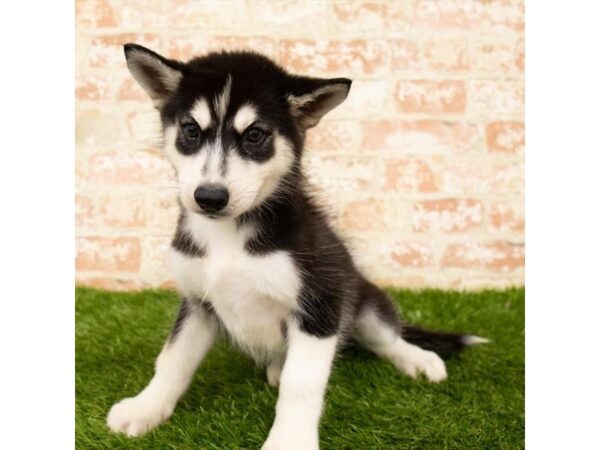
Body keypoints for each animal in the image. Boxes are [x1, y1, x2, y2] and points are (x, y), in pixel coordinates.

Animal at [105, 43, 486, 450]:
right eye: (191, 130)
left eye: (255, 135)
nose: (209, 197)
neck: (229, 235)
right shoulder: (197, 303)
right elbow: (172, 359)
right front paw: (146, 407)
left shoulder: (321, 305)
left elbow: (301, 383)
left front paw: (289, 440)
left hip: (362, 300)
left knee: (387, 338)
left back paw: (419, 359)